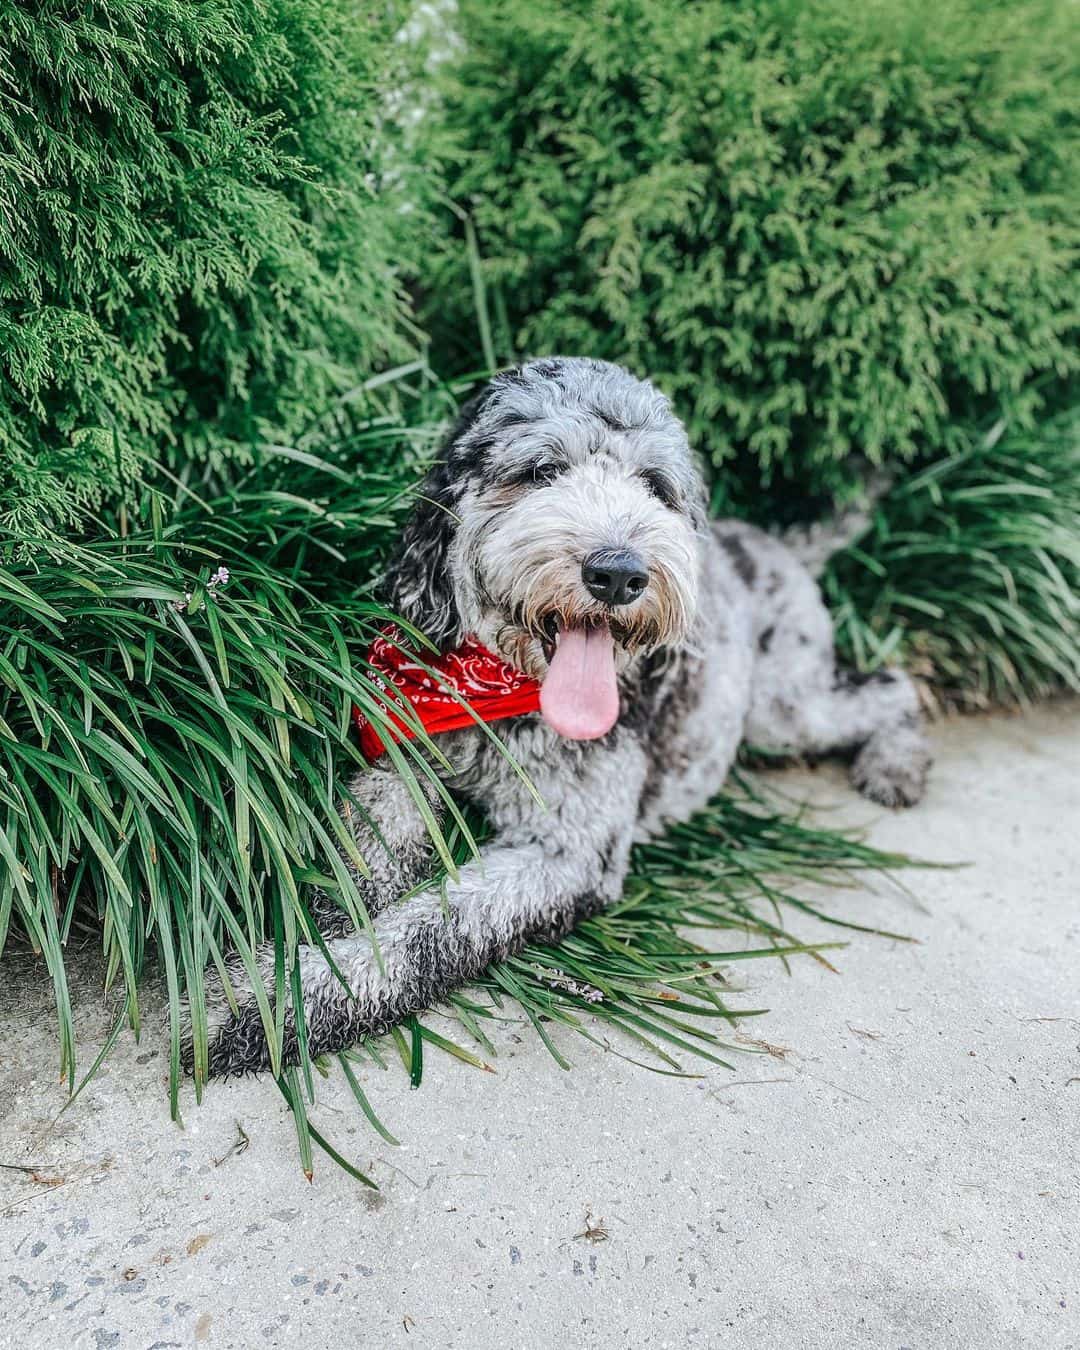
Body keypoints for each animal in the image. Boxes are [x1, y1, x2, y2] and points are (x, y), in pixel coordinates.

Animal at [191, 356, 928, 1074]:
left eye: (655, 485)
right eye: (542, 470)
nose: (619, 573)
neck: (504, 695)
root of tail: (767, 539)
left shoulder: (568, 849)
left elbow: (433, 926)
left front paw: (276, 1002)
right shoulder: (402, 748)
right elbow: (367, 850)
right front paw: (323, 922)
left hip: (782, 707)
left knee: (893, 686)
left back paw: (897, 763)